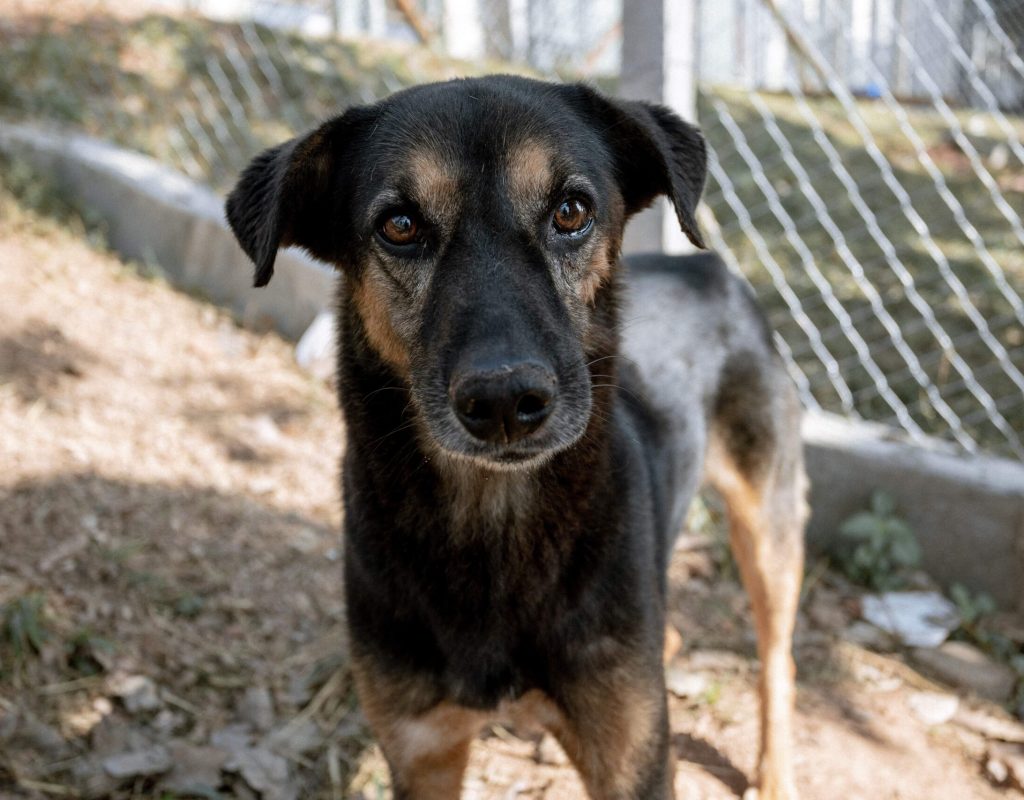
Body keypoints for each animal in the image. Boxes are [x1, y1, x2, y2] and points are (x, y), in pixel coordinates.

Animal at [226, 76, 806, 798]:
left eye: (571, 211)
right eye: (400, 225)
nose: (505, 400)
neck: (494, 530)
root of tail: (707, 271)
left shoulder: (635, 764)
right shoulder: (422, 752)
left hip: (769, 529)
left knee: (777, 658)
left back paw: (775, 772)